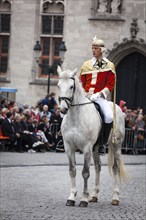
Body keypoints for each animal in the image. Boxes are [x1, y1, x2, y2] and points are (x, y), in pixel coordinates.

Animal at [57, 66, 128, 207]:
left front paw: (84, 199)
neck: (75, 117)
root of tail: (118, 108)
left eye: (71, 87)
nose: (62, 109)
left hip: (116, 146)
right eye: (58, 85)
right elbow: (72, 170)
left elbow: (85, 172)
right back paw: (94, 195)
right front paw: (72, 197)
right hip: (96, 149)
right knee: (97, 167)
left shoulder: (86, 148)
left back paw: (115, 197)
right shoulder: (69, 148)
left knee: (116, 168)